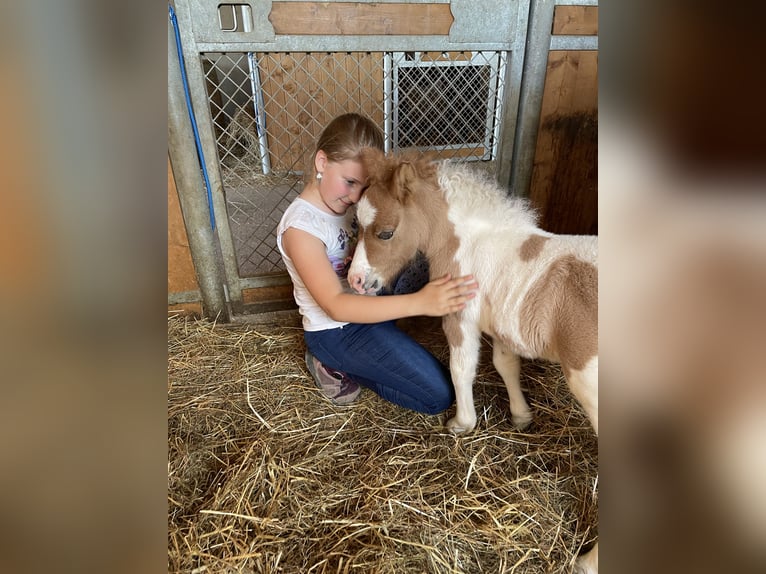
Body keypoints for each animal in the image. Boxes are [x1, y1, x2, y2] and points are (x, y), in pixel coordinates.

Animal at [347, 148, 598, 573]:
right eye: (354, 225)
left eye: (385, 232)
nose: (355, 282)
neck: (473, 242)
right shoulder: (499, 324)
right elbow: (505, 364)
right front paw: (520, 416)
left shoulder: (459, 316)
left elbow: (462, 368)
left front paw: (461, 423)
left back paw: (588, 561)